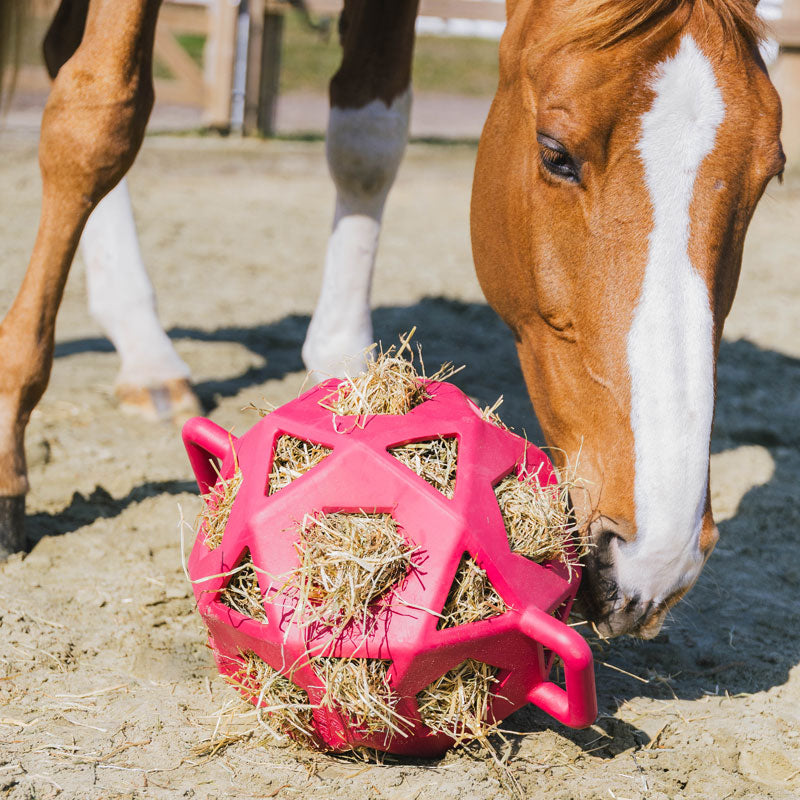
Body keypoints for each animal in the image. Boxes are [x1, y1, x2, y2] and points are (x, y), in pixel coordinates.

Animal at [0, 0, 784, 636]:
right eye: (556, 154)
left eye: (770, 175)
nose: (655, 560)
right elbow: (96, 120)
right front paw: (9, 434)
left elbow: (367, 135)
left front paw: (350, 376)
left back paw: (146, 354)